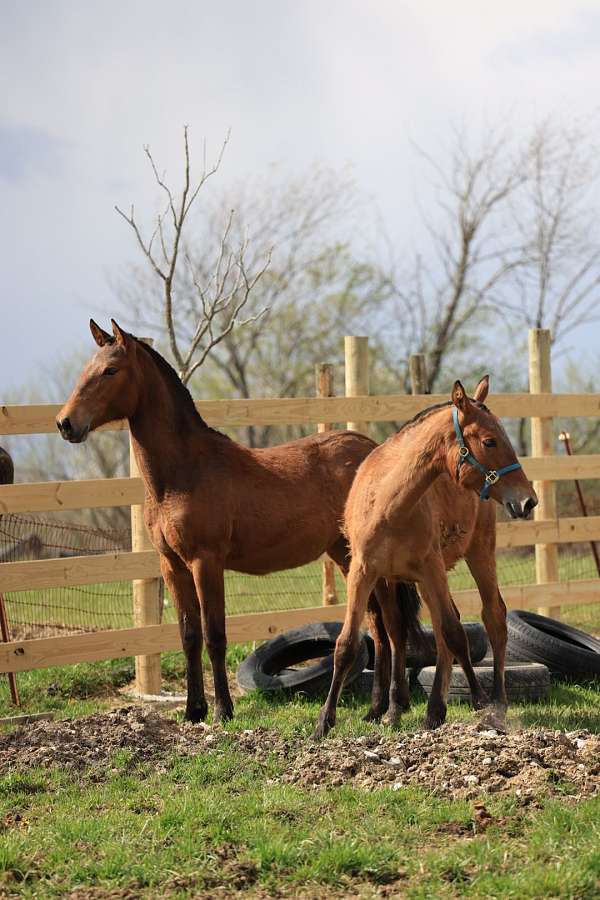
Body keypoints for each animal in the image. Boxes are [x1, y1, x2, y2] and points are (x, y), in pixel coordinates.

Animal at [57, 320, 390, 720]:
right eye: (87, 369)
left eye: (110, 370)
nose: (65, 423)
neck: (183, 473)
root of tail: (373, 449)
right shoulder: (172, 566)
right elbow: (188, 636)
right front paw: (193, 710)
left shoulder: (206, 563)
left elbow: (214, 635)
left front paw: (222, 711)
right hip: (345, 556)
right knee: (383, 623)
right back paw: (380, 709)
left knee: (386, 623)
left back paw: (383, 709)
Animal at [314, 378, 540, 740]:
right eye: (489, 441)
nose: (528, 500)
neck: (389, 503)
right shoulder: (364, 574)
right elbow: (347, 643)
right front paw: (324, 721)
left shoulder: (431, 569)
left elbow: (456, 634)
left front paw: (480, 702)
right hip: (407, 581)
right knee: (408, 630)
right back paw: (425, 710)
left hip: (478, 554)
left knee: (493, 617)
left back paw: (495, 702)